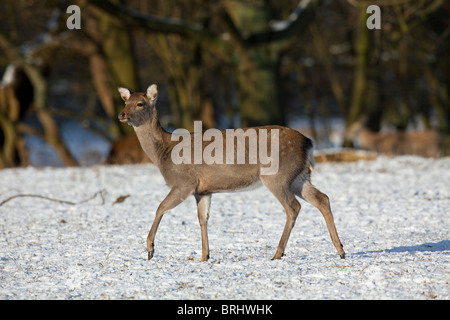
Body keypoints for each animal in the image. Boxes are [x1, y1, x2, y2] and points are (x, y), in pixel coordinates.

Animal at [117, 84, 344, 262]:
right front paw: (204, 256)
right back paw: (341, 250)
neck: (164, 152)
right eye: (125, 101)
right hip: (299, 177)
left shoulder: (183, 182)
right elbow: (202, 218)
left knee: (293, 207)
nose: (122, 114)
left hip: (277, 176)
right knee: (322, 198)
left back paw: (278, 253)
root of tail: (309, 142)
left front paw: (150, 249)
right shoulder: (203, 190)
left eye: (140, 103)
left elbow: (160, 207)